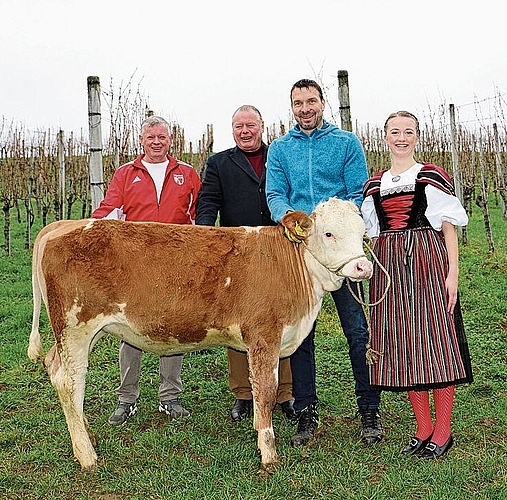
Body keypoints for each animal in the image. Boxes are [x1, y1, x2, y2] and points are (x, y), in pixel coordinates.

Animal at [27, 197, 374, 470]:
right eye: (328, 233)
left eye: (362, 233)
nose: (363, 268)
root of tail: (62, 225)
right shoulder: (264, 336)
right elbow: (265, 392)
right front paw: (268, 453)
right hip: (76, 327)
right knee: (70, 382)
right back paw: (87, 456)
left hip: (79, 333)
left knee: (56, 368)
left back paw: (84, 433)